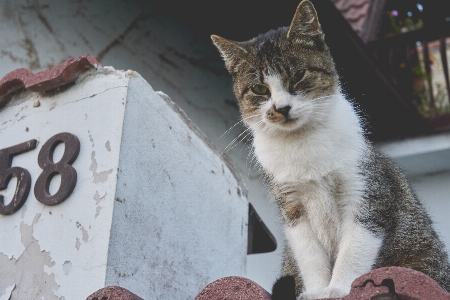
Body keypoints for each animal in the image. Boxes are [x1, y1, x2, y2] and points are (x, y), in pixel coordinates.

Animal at [211, 1, 450, 298]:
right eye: (259, 88)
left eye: (298, 75)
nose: (281, 108)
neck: (303, 142)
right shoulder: (292, 206)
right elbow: (309, 254)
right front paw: (317, 290)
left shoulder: (365, 191)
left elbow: (355, 249)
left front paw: (338, 288)